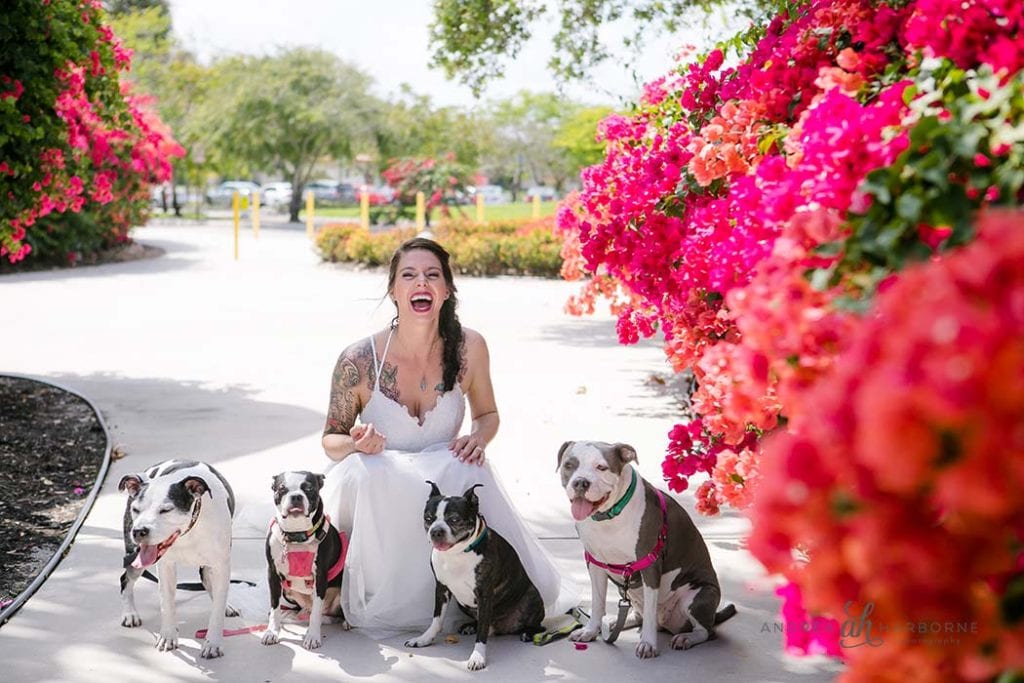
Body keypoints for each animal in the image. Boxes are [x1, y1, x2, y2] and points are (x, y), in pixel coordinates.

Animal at [118, 458, 238, 655]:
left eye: (166, 510)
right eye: (136, 509)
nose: (139, 531)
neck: (188, 531)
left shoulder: (221, 565)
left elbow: (217, 608)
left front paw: (212, 642)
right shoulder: (165, 566)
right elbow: (167, 603)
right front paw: (168, 636)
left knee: (209, 583)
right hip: (135, 556)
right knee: (125, 579)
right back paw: (130, 614)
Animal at [260, 473, 348, 651]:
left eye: (309, 488)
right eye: (282, 489)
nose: (296, 496)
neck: (296, 535)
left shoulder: (320, 577)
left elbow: (316, 612)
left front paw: (313, 636)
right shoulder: (273, 574)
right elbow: (274, 607)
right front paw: (272, 632)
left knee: (327, 613)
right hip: (287, 592)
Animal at [405, 483, 548, 671]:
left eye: (454, 519)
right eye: (428, 518)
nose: (436, 531)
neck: (457, 553)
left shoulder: (484, 593)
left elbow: (482, 634)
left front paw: (477, 657)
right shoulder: (441, 588)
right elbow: (436, 619)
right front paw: (423, 639)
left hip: (532, 597)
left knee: (539, 625)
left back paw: (528, 633)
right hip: (462, 604)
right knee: (481, 621)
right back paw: (470, 626)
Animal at [561, 440, 737, 659]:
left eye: (601, 467)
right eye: (569, 465)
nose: (580, 482)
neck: (610, 515)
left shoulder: (650, 564)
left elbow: (650, 612)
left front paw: (648, 644)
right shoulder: (594, 563)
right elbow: (597, 601)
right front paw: (590, 630)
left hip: (699, 595)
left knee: (706, 631)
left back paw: (686, 638)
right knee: (638, 615)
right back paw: (614, 622)